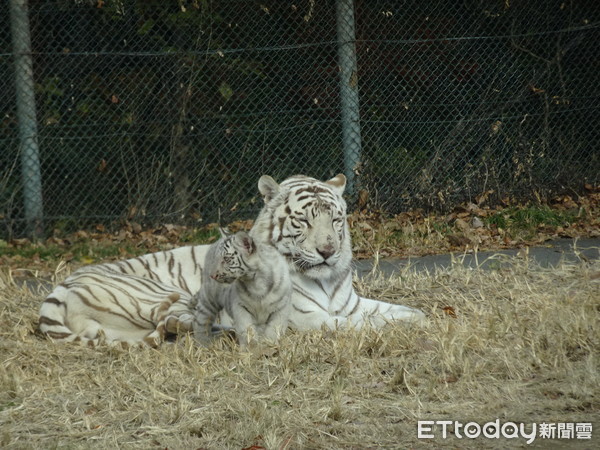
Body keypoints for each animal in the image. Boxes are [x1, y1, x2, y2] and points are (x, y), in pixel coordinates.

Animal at [38, 172, 422, 344]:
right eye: (303, 220)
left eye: (336, 219)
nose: (328, 252)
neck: (324, 279)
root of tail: (60, 288)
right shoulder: (305, 317)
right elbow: (355, 325)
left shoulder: (351, 303)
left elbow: (397, 310)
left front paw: (421, 319)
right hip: (162, 293)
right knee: (177, 321)